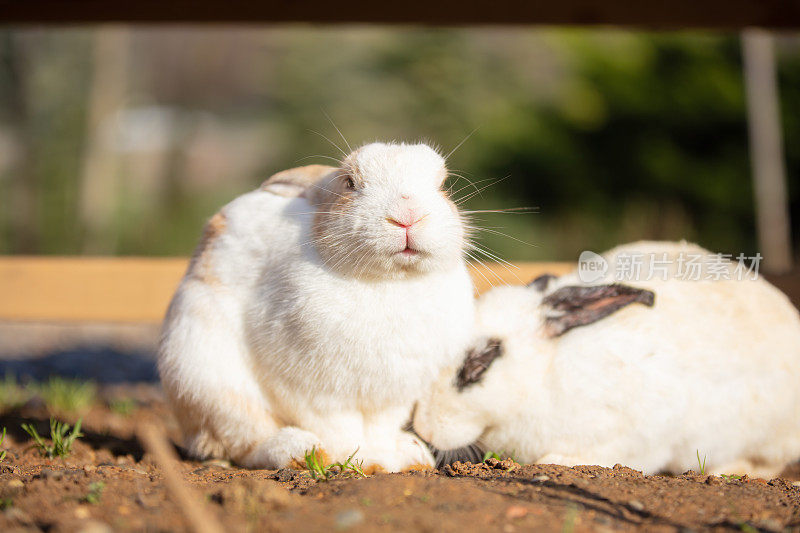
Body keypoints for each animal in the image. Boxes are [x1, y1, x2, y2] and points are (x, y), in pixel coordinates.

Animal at [159, 141, 478, 470]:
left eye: (443, 186)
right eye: (349, 183)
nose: (408, 215)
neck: (392, 282)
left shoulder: (393, 398)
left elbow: (380, 427)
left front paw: (394, 456)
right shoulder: (314, 394)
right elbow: (338, 429)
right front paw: (361, 460)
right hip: (204, 376)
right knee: (244, 443)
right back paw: (300, 451)